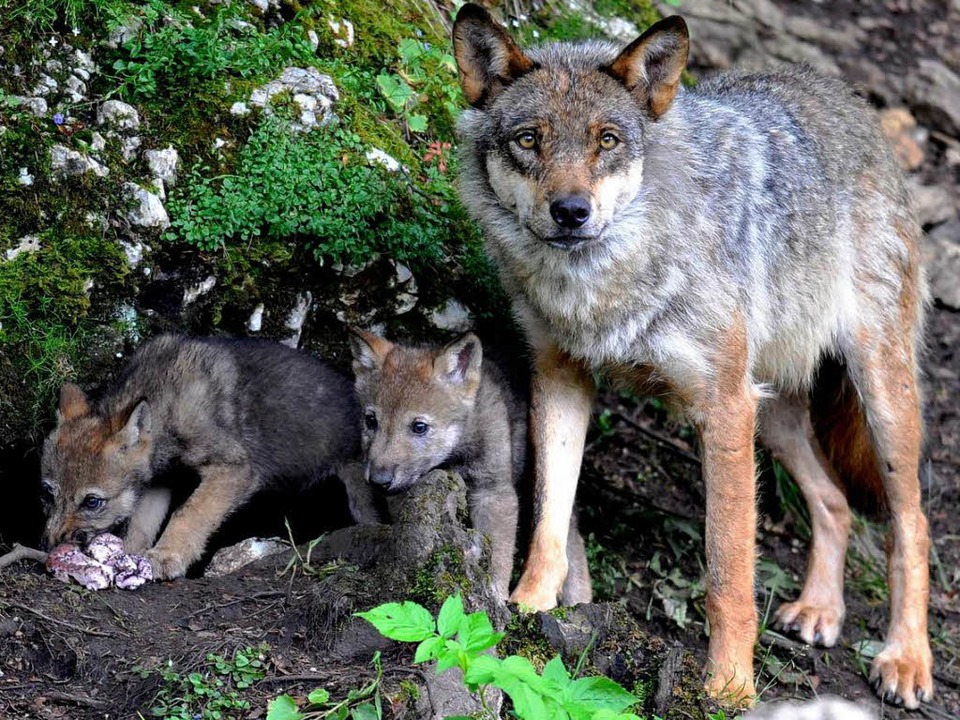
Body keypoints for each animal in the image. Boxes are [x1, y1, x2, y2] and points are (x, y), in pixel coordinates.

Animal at [454, 4, 932, 708]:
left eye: (606, 141)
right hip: (774, 416)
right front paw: (526, 610)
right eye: (529, 140)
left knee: (911, 524)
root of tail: (847, 98)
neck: (602, 286)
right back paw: (821, 610)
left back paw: (906, 659)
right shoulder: (561, 376)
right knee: (835, 502)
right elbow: (549, 520)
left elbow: (728, 573)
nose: (571, 212)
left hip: (877, 400)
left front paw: (729, 688)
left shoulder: (722, 409)